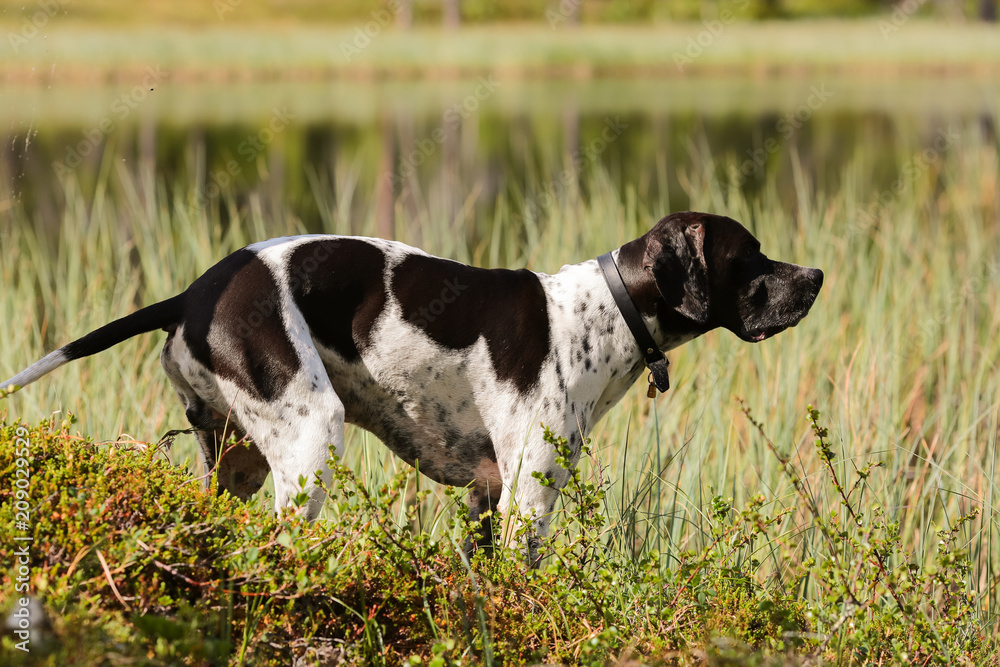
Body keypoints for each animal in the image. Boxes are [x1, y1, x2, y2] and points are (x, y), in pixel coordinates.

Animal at [1, 213, 820, 560]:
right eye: (750, 255)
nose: (814, 276)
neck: (603, 312)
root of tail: (194, 292)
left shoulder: (487, 496)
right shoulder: (527, 499)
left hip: (235, 460)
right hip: (309, 438)